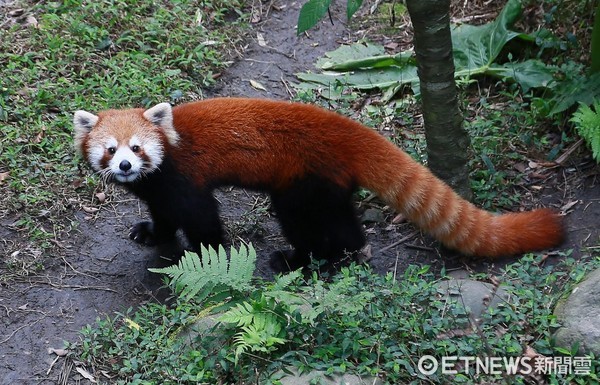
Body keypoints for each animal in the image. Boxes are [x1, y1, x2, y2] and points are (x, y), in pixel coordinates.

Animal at [72, 97, 564, 268]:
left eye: (137, 148)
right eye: (110, 150)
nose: (125, 167)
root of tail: (346, 130)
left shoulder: (185, 176)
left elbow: (203, 219)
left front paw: (204, 255)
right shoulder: (157, 186)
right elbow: (161, 212)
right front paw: (152, 233)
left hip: (303, 183)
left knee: (304, 222)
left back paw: (302, 258)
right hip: (327, 185)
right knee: (343, 219)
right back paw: (347, 250)